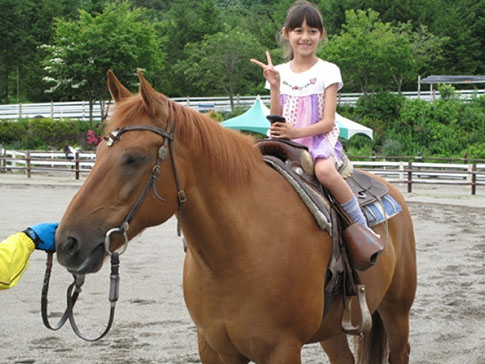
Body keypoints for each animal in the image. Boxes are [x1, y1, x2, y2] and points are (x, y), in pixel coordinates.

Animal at [54, 72, 414, 364]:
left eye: (135, 158)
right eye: (98, 152)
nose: (67, 242)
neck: (236, 253)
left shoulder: (282, 349)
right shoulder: (214, 347)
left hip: (396, 313)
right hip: (334, 330)